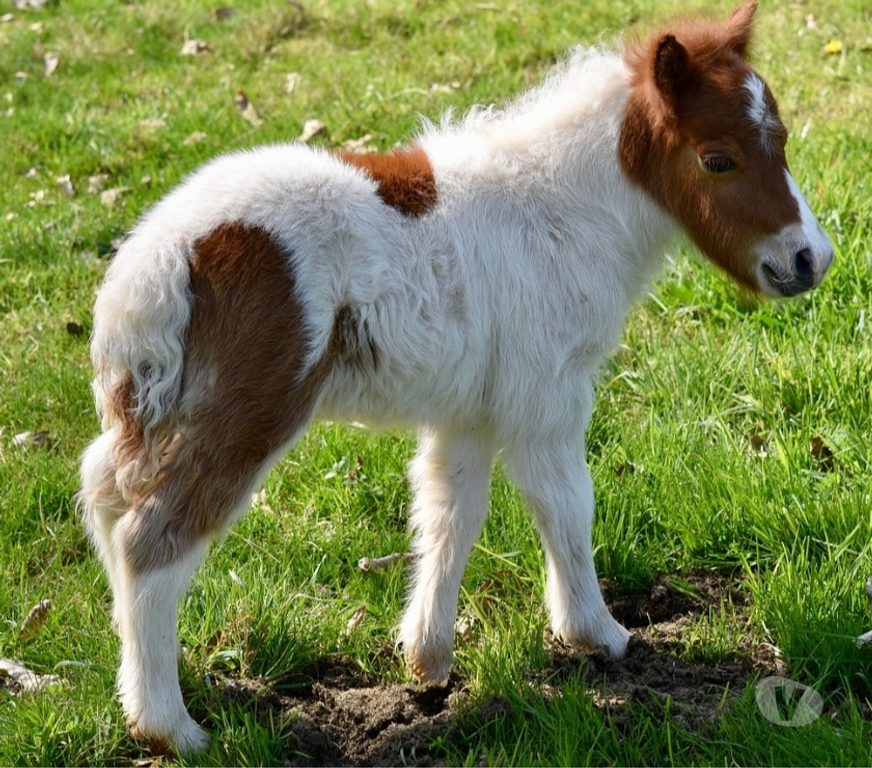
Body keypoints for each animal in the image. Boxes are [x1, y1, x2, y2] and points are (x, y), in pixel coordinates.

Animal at [78, 3, 833, 753]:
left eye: (783, 140)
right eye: (717, 158)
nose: (810, 260)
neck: (561, 209)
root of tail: (160, 261)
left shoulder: (467, 410)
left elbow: (451, 512)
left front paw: (429, 660)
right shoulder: (547, 394)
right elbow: (565, 502)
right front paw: (598, 635)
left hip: (154, 413)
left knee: (107, 500)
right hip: (247, 414)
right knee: (152, 538)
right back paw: (171, 728)